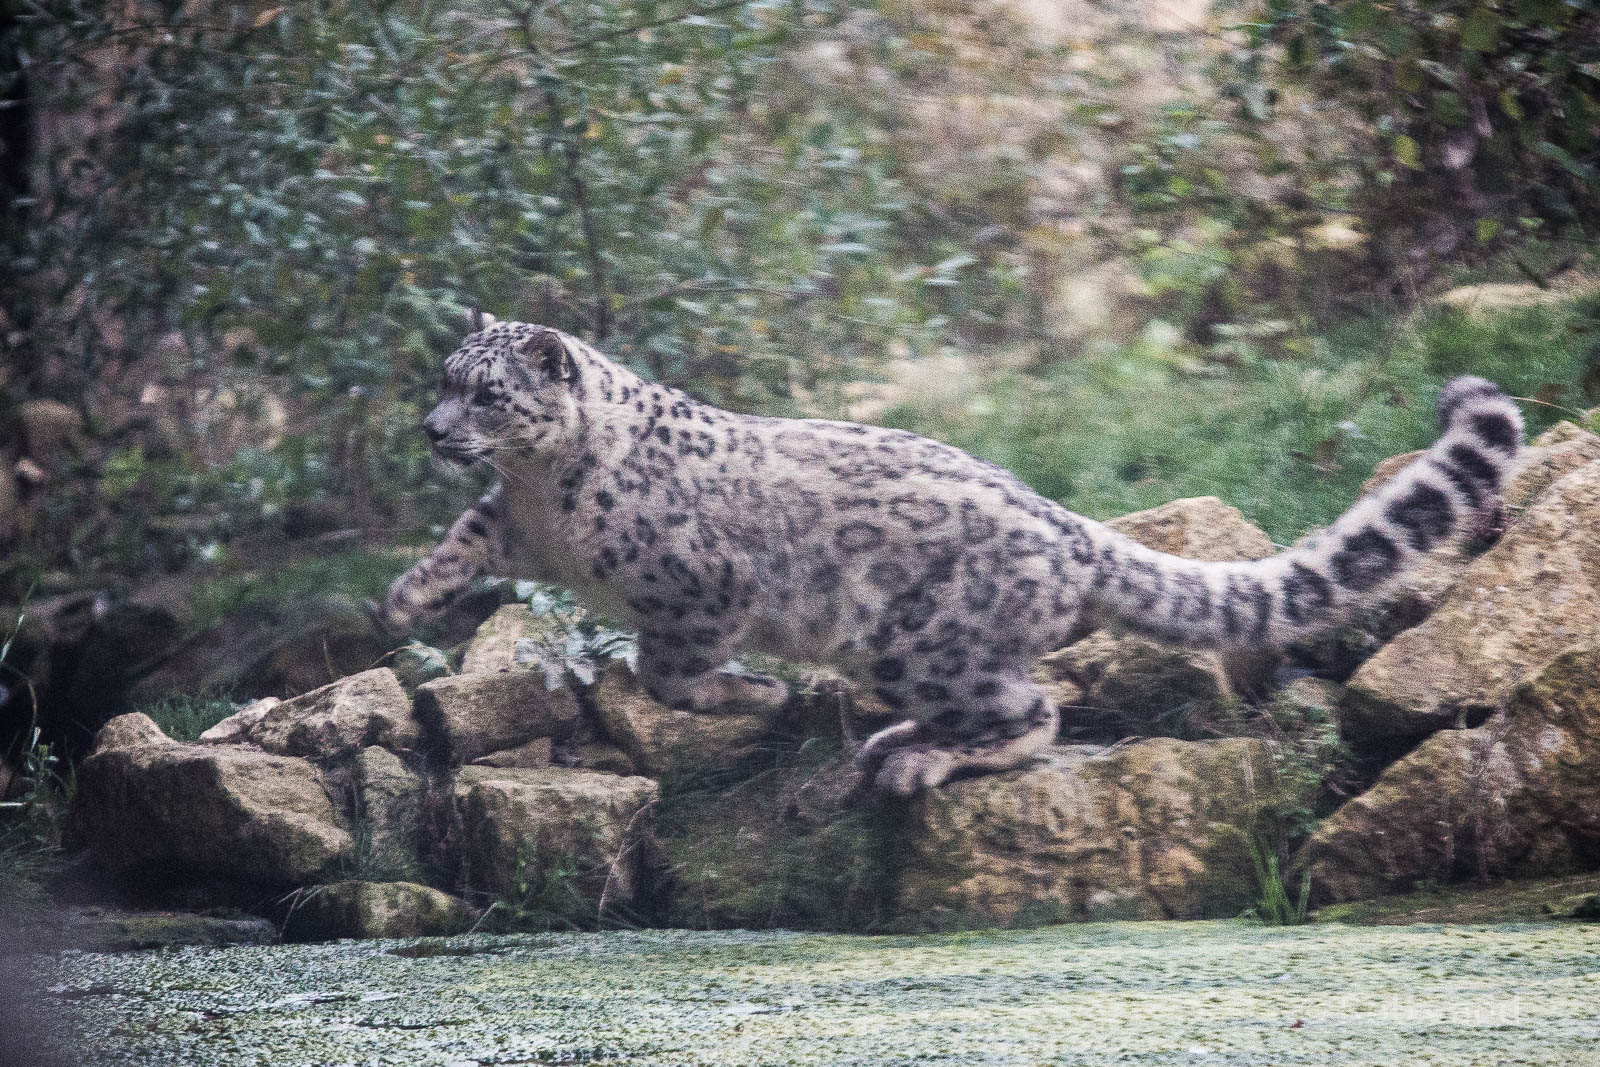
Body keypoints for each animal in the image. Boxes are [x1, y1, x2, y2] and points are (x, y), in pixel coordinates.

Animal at [379, 314, 1525, 795]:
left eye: (487, 392)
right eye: (442, 377)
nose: (432, 430)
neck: (551, 497)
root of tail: (1069, 527)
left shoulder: (702, 589)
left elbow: (668, 668)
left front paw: (749, 693)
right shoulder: (508, 520)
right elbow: (463, 535)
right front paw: (404, 595)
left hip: (927, 641)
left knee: (1033, 710)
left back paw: (924, 756)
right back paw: (897, 741)